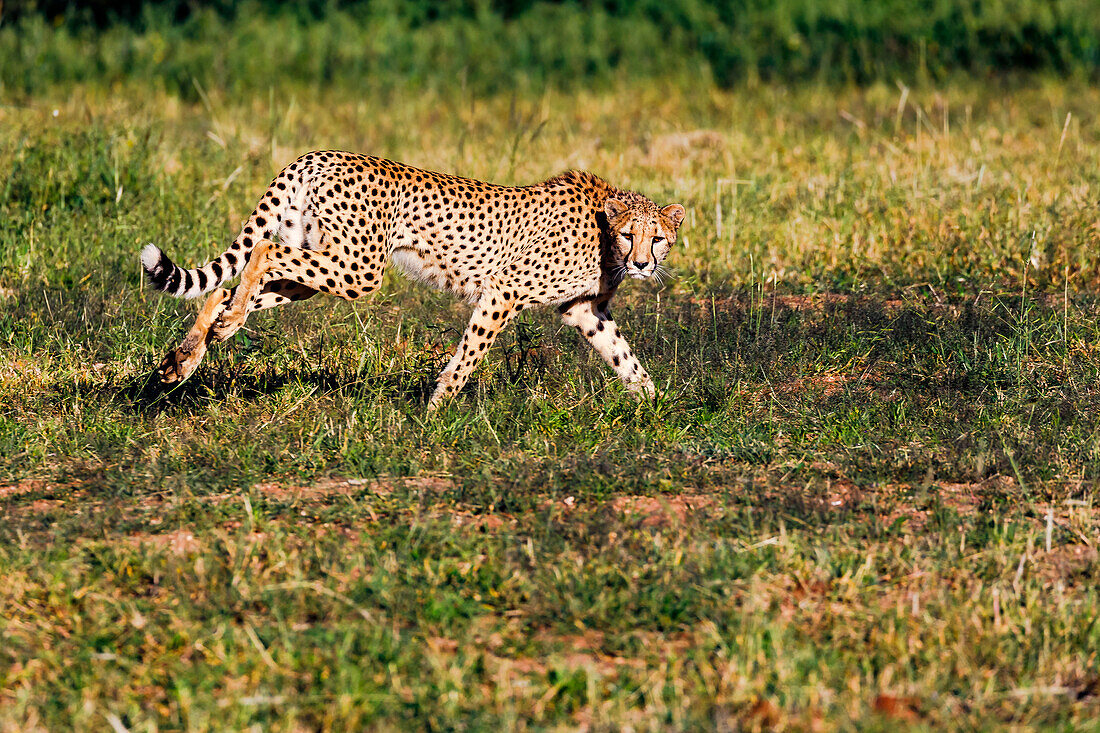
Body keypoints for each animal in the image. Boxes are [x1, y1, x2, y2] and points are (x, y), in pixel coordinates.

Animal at [140, 150, 682, 407]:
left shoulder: (584, 309)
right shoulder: (503, 292)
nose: (643, 264)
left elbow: (626, 357)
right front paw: (435, 412)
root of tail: (320, 153)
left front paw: (655, 408)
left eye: (658, 239)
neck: (605, 236)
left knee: (228, 287)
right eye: (631, 235)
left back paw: (188, 354)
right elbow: (469, 355)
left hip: (323, 262)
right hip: (358, 269)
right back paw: (218, 329)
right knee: (264, 252)